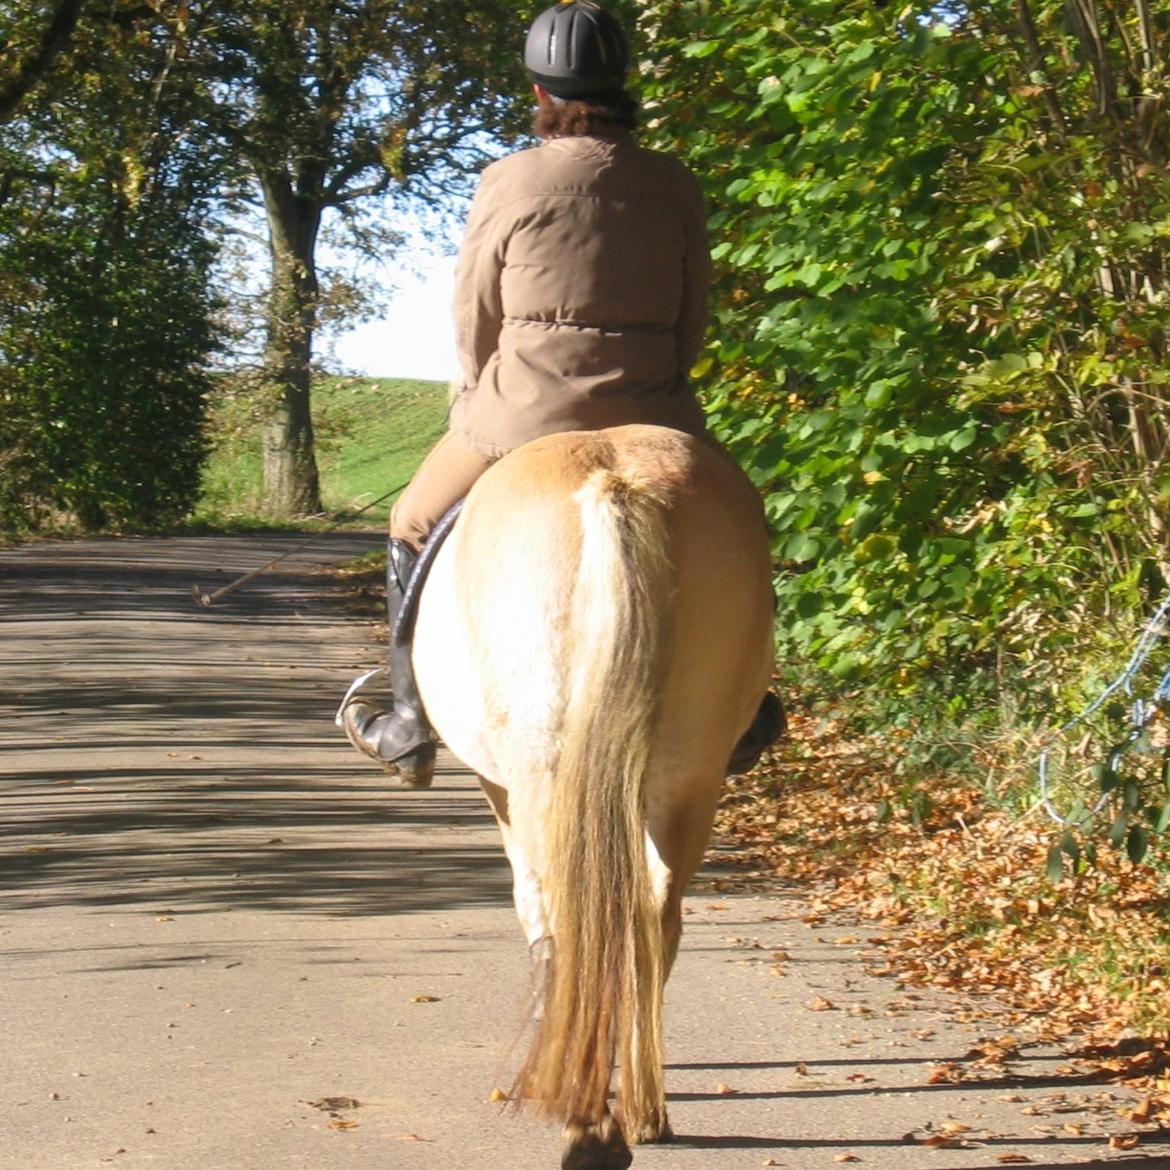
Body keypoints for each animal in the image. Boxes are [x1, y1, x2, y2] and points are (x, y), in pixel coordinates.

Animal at [411, 423, 776, 1170]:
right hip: (690, 768)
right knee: (652, 912)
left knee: (570, 912)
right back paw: (640, 1106)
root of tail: (615, 477)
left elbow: (533, 909)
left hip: (541, 765)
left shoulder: (501, 788)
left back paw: (585, 1120)